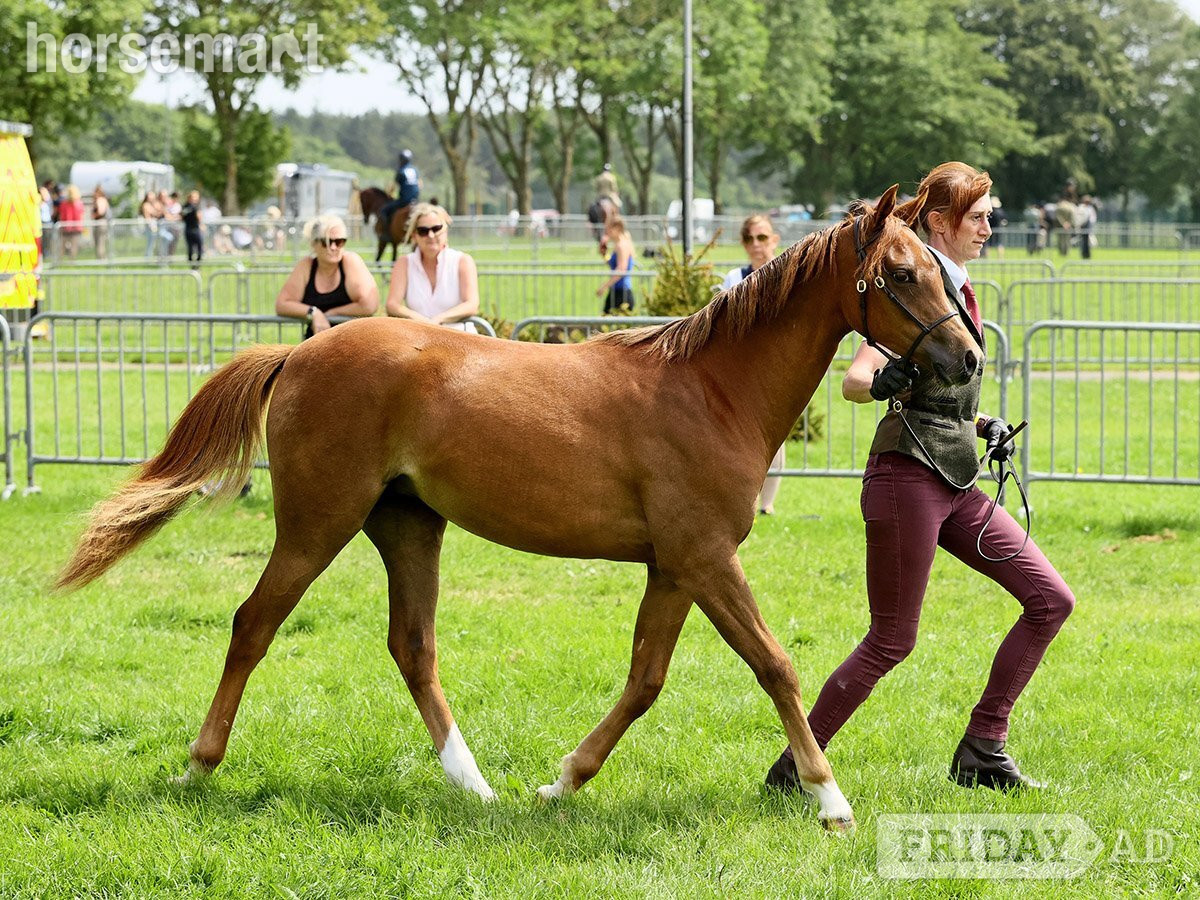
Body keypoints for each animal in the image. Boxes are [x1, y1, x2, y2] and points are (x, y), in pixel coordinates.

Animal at [57, 185, 980, 832]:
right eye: (901, 273)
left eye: (940, 268)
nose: (968, 359)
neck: (713, 389)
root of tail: (301, 353)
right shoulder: (707, 559)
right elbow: (775, 666)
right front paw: (830, 800)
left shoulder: (675, 568)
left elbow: (646, 680)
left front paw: (561, 781)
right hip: (318, 526)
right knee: (254, 624)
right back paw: (199, 765)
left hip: (408, 527)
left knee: (412, 647)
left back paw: (475, 785)